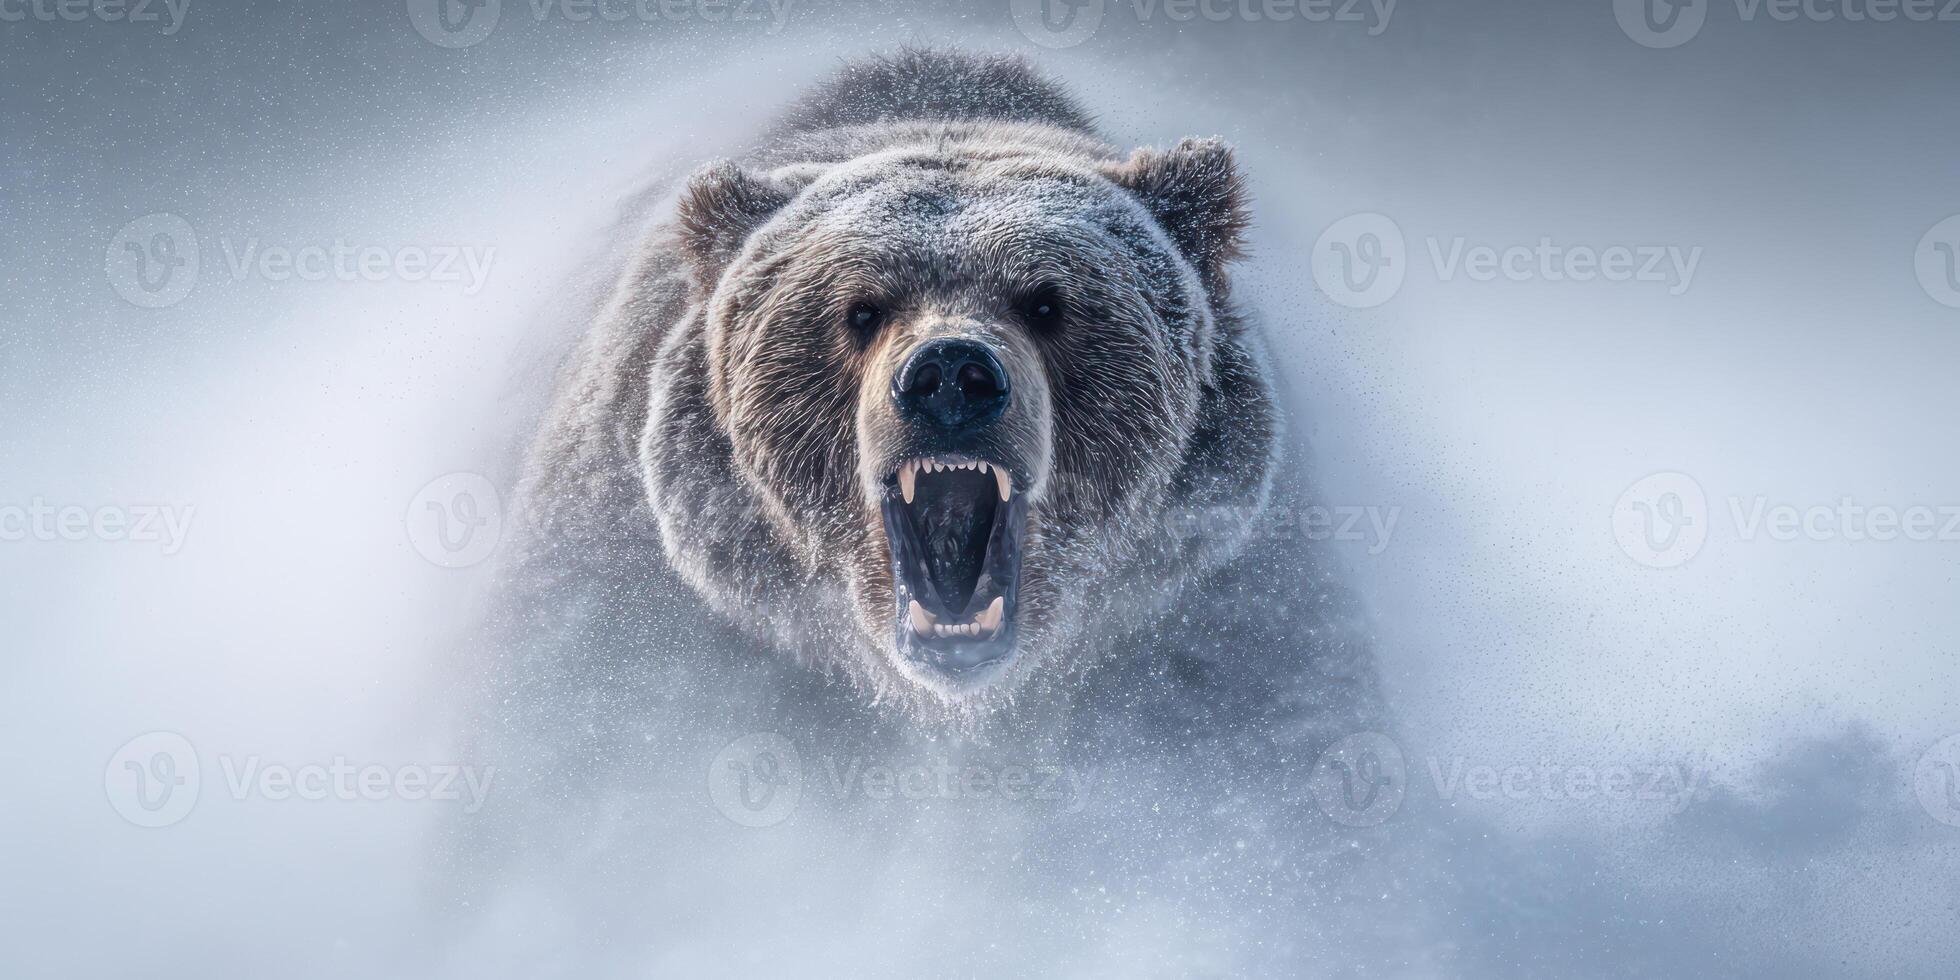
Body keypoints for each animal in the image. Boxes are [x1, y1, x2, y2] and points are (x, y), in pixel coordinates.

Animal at [448, 49, 1414, 974]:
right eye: (859, 308)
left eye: (1047, 300)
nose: (951, 373)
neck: (951, 712)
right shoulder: (638, 615)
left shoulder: (1216, 625)